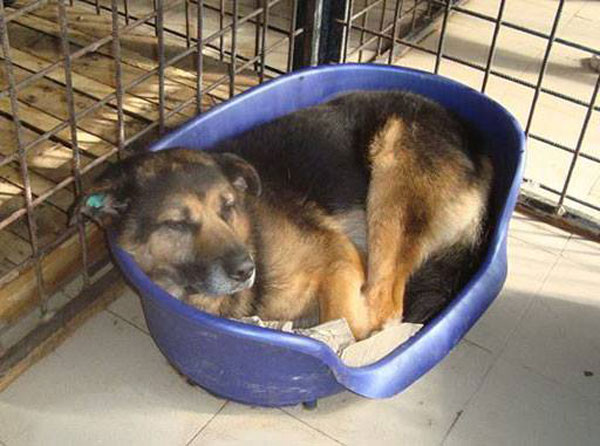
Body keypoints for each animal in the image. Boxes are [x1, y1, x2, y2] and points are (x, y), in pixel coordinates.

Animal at [75, 91, 494, 342]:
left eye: (227, 206)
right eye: (176, 224)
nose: (246, 269)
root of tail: (478, 147)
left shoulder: (339, 259)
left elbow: (345, 322)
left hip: (392, 176)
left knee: (385, 308)